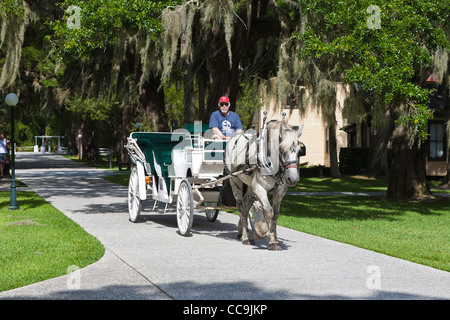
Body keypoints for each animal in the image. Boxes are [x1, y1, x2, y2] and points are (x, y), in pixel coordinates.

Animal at [224, 120, 302, 250]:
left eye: (299, 151)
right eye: (281, 149)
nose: (293, 178)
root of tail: (232, 139)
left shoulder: (280, 191)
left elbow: (275, 214)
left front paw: (273, 240)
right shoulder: (259, 187)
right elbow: (268, 211)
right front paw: (261, 232)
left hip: (250, 185)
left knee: (247, 205)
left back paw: (242, 232)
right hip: (235, 180)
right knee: (240, 207)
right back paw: (247, 237)